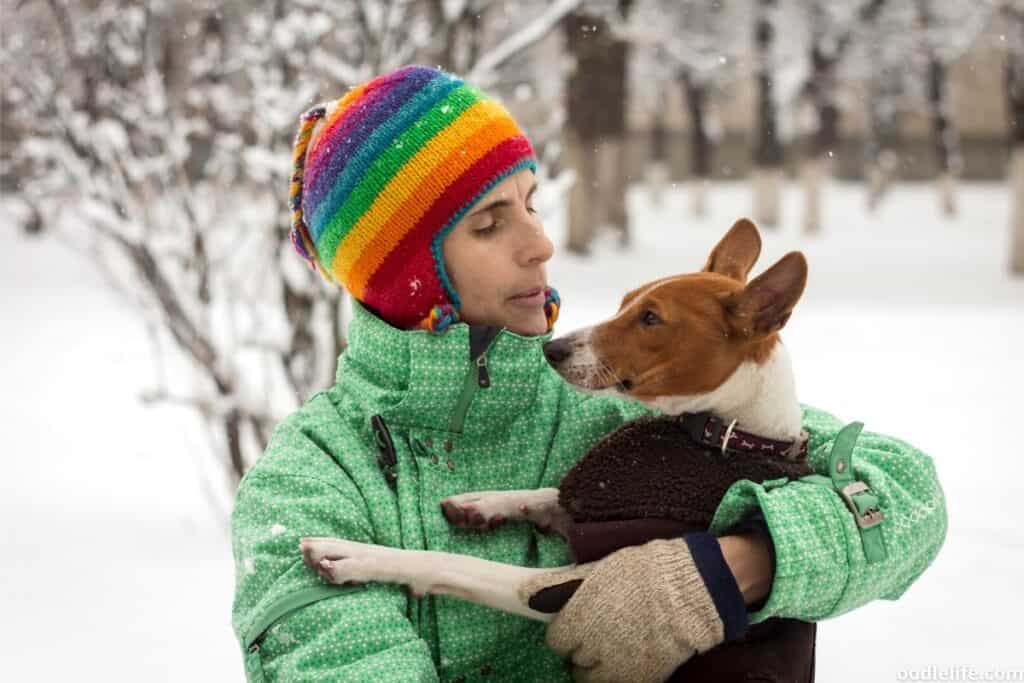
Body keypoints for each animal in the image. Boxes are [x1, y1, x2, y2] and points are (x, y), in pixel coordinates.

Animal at [299, 218, 811, 647]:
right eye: (625, 302)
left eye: (651, 318)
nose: (553, 349)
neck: (720, 435)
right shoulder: (599, 503)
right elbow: (550, 492)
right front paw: (484, 503)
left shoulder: (566, 587)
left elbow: (452, 562)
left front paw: (350, 555)